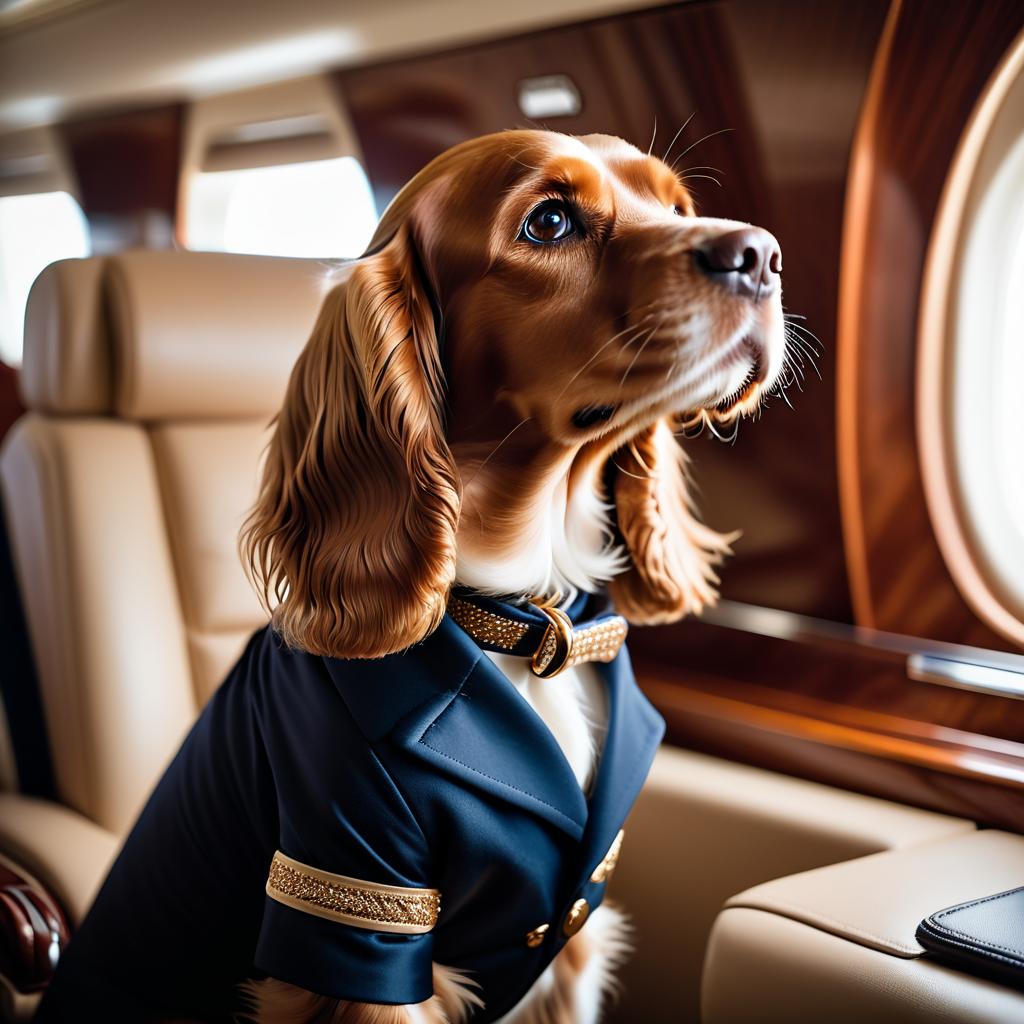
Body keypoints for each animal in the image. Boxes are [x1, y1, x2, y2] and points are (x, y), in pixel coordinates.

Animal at [34, 128, 782, 1024]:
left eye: (675, 205)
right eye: (550, 221)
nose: (762, 254)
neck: (524, 622)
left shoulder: (572, 942)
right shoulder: (356, 908)